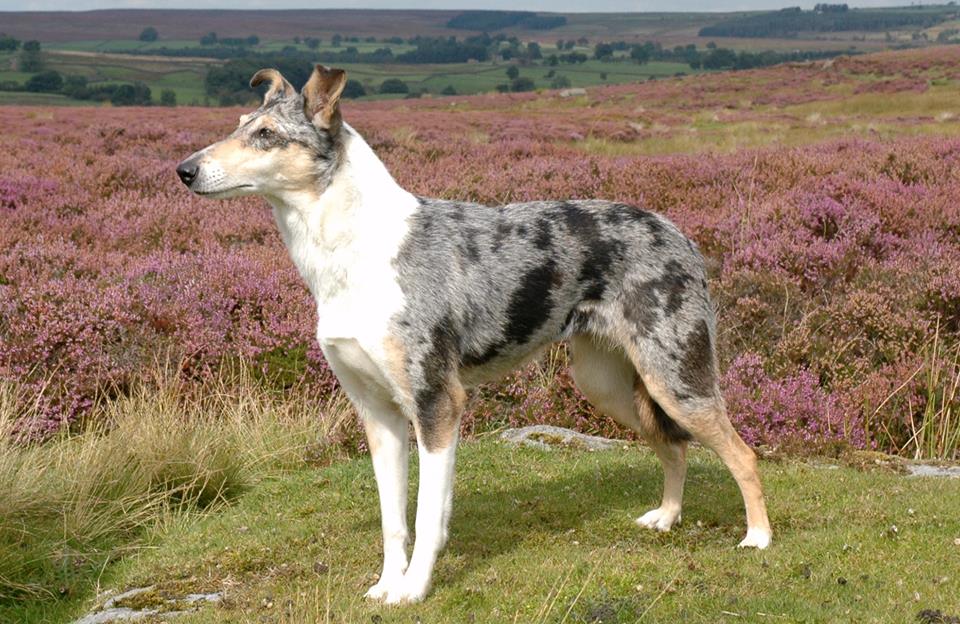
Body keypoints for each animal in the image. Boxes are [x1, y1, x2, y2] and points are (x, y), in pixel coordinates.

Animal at [174, 64, 772, 604]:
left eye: (266, 135)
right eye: (239, 124)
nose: (183, 170)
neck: (348, 253)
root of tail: (676, 231)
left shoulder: (437, 403)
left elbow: (427, 517)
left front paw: (413, 590)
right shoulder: (379, 415)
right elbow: (393, 520)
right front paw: (386, 586)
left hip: (676, 378)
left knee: (741, 454)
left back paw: (758, 538)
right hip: (608, 384)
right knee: (673, 448)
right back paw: (667, 518)